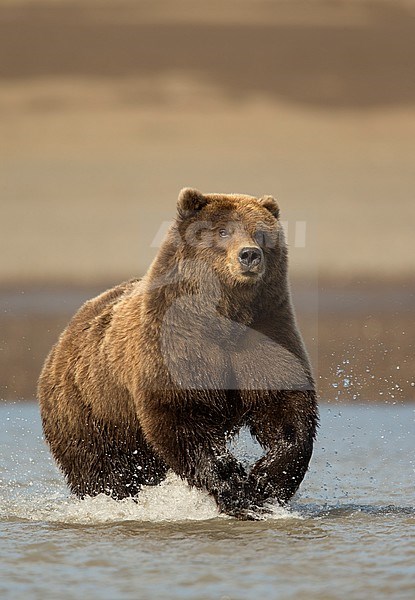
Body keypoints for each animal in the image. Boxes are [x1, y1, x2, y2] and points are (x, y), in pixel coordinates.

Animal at [39, 189, 318, 520]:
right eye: (223, 231)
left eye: (261, 233)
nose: (249, 255)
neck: (226, 317)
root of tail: (63, 337)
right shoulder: (177, 347)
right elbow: (179, 418)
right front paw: (234, 487)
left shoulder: (265, 335)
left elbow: (287, 410)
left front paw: (265, 481)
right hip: (89, 411)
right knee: (101, 471)